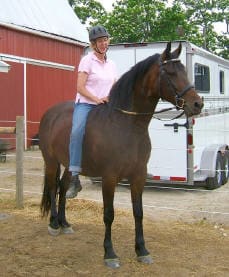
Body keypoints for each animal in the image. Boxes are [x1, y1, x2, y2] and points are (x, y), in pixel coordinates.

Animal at [38, 42, 203, 268]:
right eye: (170, 73)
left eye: (184, 71)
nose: (197, 104)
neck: (127, 125)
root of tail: (50, 114)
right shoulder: (109, 178)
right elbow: (109, 214)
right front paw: (110, 253)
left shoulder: (138, 176)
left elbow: (138, 213)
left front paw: (142, 250)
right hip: (51, 162)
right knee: (53, 188)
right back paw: (54, 224)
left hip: (69, 164)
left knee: (62, 188)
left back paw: (64, 223)